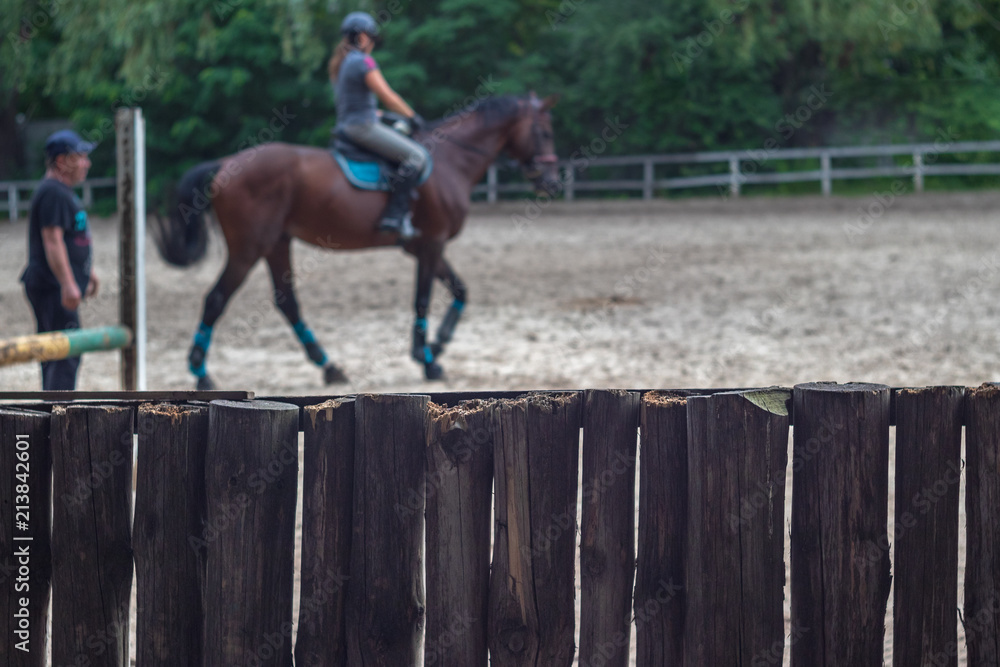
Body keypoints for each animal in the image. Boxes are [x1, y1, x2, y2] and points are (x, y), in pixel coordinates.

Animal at [154, 91, 564, 388]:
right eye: (544, 131)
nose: (553, 182)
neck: (451, 161)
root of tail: (227, 163)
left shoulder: (424, 246)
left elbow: (460, 290)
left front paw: (436, 344)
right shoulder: (431, 245)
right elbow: (422, 299)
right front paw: (429, 361)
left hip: (276, 244)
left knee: (287, 302)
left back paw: (329, 367)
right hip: (248, 249)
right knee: (216, 300)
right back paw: (202, 374)